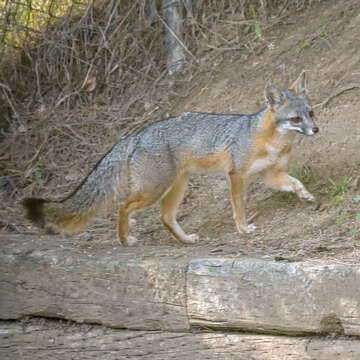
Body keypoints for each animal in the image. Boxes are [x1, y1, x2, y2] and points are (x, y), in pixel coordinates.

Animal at [24, 71, 318, 246]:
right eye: (296, 119)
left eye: (311, 113)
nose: (316, 130)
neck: (270, 140)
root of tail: (136, 135)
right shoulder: (236, 175)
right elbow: (239, 207)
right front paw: (243, 229)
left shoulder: (271, 174)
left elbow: (295, 183)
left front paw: (307, 196)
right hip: (155, 189)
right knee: (124, 206)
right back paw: (124, 239)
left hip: (176, 187)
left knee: (165, 217)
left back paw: (185, 240)